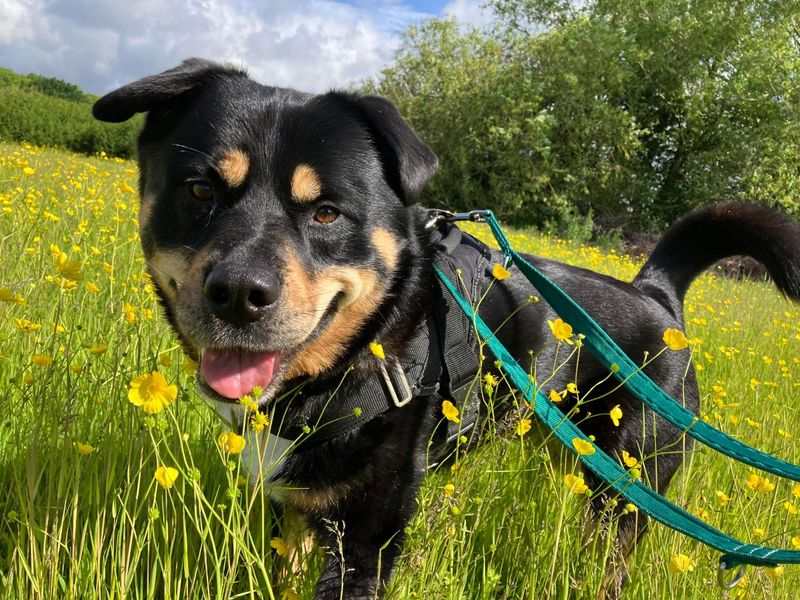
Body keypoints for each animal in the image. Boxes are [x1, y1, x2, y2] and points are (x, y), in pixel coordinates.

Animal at [92, 58, 800, 596]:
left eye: (327, 212)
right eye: (200, 191)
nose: (239, 294)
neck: (356, 359)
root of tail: (653, 292)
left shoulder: (367, 535)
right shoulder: (289, 505)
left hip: (628, 488)